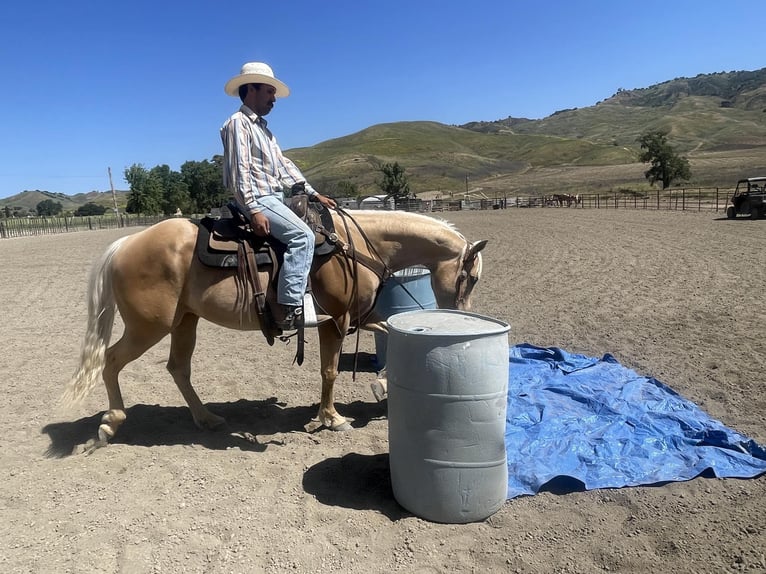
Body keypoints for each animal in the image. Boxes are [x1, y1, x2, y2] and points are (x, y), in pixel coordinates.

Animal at [63, 209, 488, 448]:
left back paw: (206, 419)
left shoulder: (358, 317)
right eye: (471, 278)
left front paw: (380, 385)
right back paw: (111, 424)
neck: (354, 246)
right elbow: (330, 370)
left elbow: (385, 331)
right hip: (148, 326)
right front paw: (332, 418)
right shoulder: (336, 321)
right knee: (110, 361)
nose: (460, 316)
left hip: (185, 321)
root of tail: (125, 243)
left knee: (178, 368)